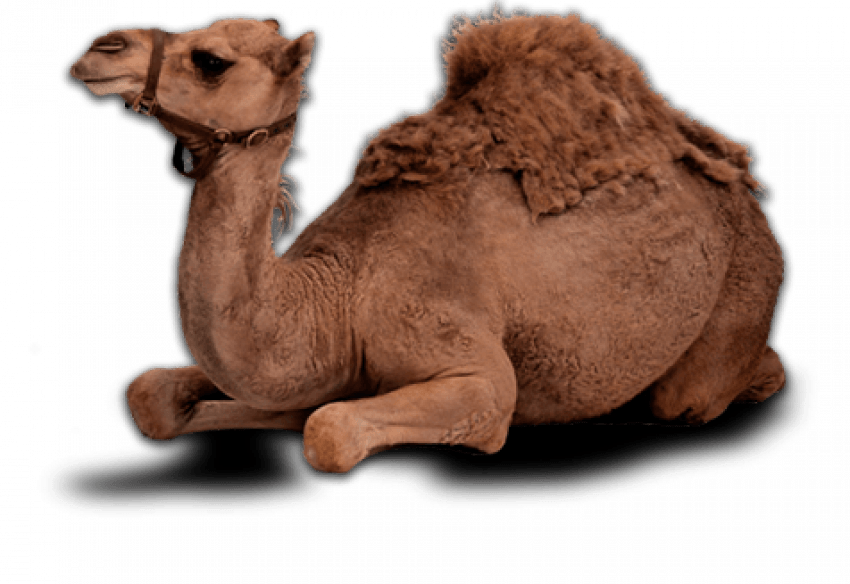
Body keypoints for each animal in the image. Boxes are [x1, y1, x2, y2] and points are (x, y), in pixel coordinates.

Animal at [68, 13, 786, 474]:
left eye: (211, 60)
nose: (101, 48)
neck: (337, 293)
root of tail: (747, 191)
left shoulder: (473, 368)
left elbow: (328, 428)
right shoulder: (318, 368)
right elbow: (152, 396)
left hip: (742, 286)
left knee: (698, 391)